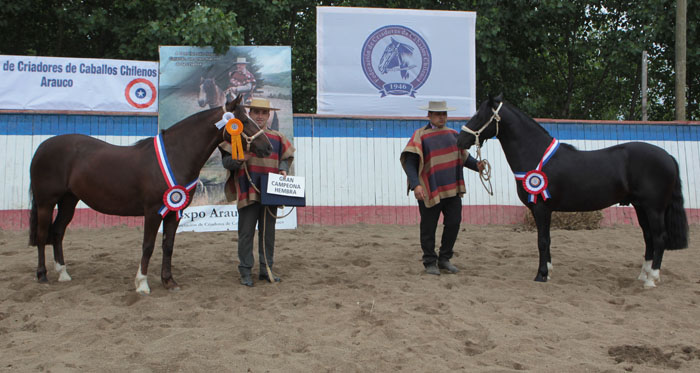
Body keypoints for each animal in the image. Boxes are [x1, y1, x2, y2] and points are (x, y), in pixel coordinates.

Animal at [28, 94, 274, 292]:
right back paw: (42, 276)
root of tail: (42, 147)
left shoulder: (174, 212)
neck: (176, 155)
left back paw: (63, 274)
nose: (268, 147)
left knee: (57, 232)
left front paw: (169, 282)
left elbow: (168, 245)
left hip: (68, 201)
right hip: (46, 202)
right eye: (242, 121)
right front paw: (142, 284)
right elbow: (148, 246)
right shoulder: (154, 211)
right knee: (42, 235)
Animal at [456, 94, 692, 286]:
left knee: (659, 238)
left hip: (654, 208)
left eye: (479, 116)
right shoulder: (545, 210)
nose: (460, 140)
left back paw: (651, 279)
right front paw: (548, 271)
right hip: (641, 207)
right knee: (649, 237)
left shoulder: (541, 208)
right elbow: (547, 240)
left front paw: (541, 275)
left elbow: (542, 241)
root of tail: (668, 156)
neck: (535, 153)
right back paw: (643, 275)